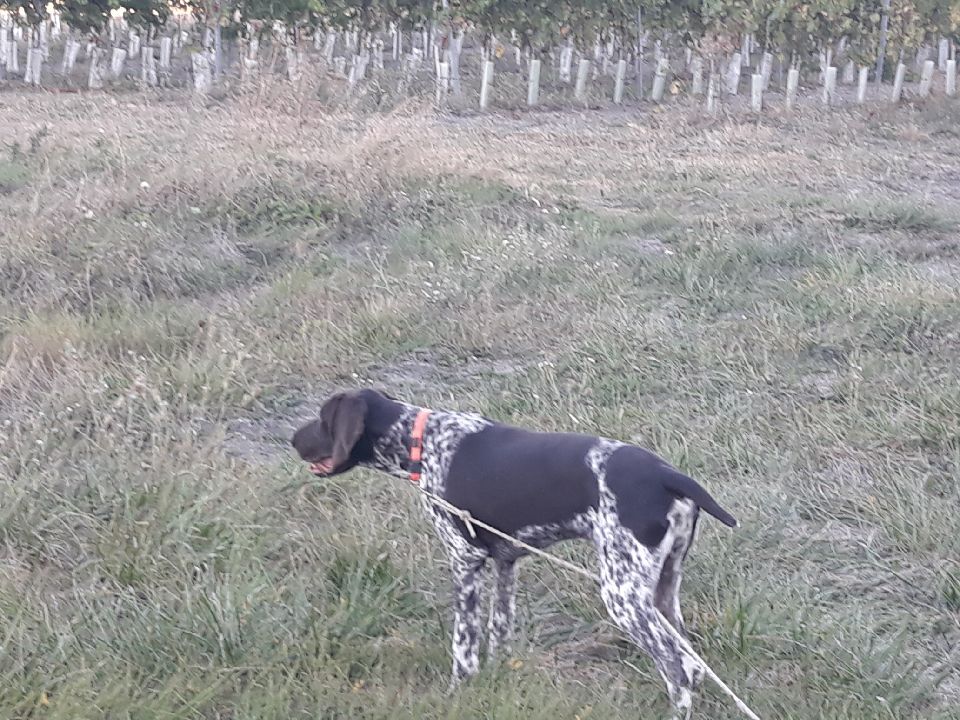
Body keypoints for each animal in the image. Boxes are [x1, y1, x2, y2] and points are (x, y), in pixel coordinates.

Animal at [292, 388, 737, 718]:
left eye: (324, 419)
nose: (293, 439)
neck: (422, 441)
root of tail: (667, 475)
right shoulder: (506, 562)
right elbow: (499, 631)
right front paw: (501, 678)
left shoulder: (465, 561)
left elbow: (464, 647)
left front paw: (458, 693)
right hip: (662, 591)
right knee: (690, 662)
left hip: (622, 594)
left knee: (679, 668)